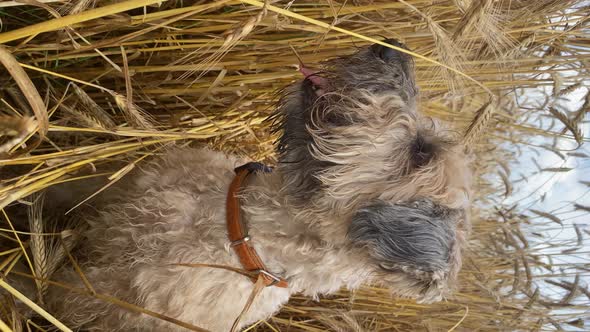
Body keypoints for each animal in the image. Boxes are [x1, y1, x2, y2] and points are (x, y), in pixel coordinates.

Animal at [24, 40, 476, 330]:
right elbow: (58, 192)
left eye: (421, 151)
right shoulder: (114, 189)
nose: (391, 47)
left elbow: (45, 291)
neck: (238, 224)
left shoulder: (95, 296)